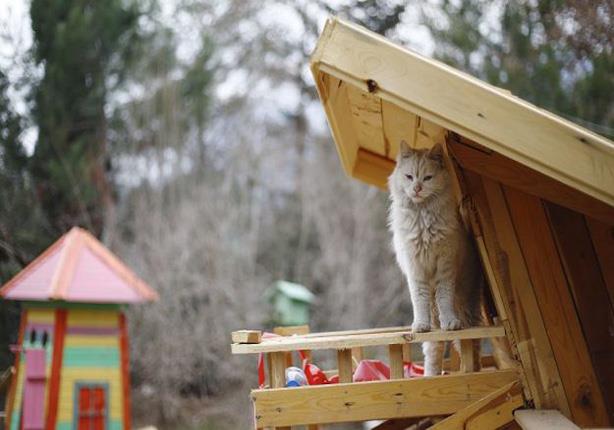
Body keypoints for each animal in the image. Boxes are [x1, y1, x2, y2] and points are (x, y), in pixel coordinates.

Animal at [390, 141, 486, 376]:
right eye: (409, 177)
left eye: (427, 178)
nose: (417, 188)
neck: (422, 215)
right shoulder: (416, 271)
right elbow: (419, 301)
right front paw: (420, 325)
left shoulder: (445, 268)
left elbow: (445, 298)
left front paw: (450, 322)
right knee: (434, 348)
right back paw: (430, 374)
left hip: (467, 303)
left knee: (472, 346)